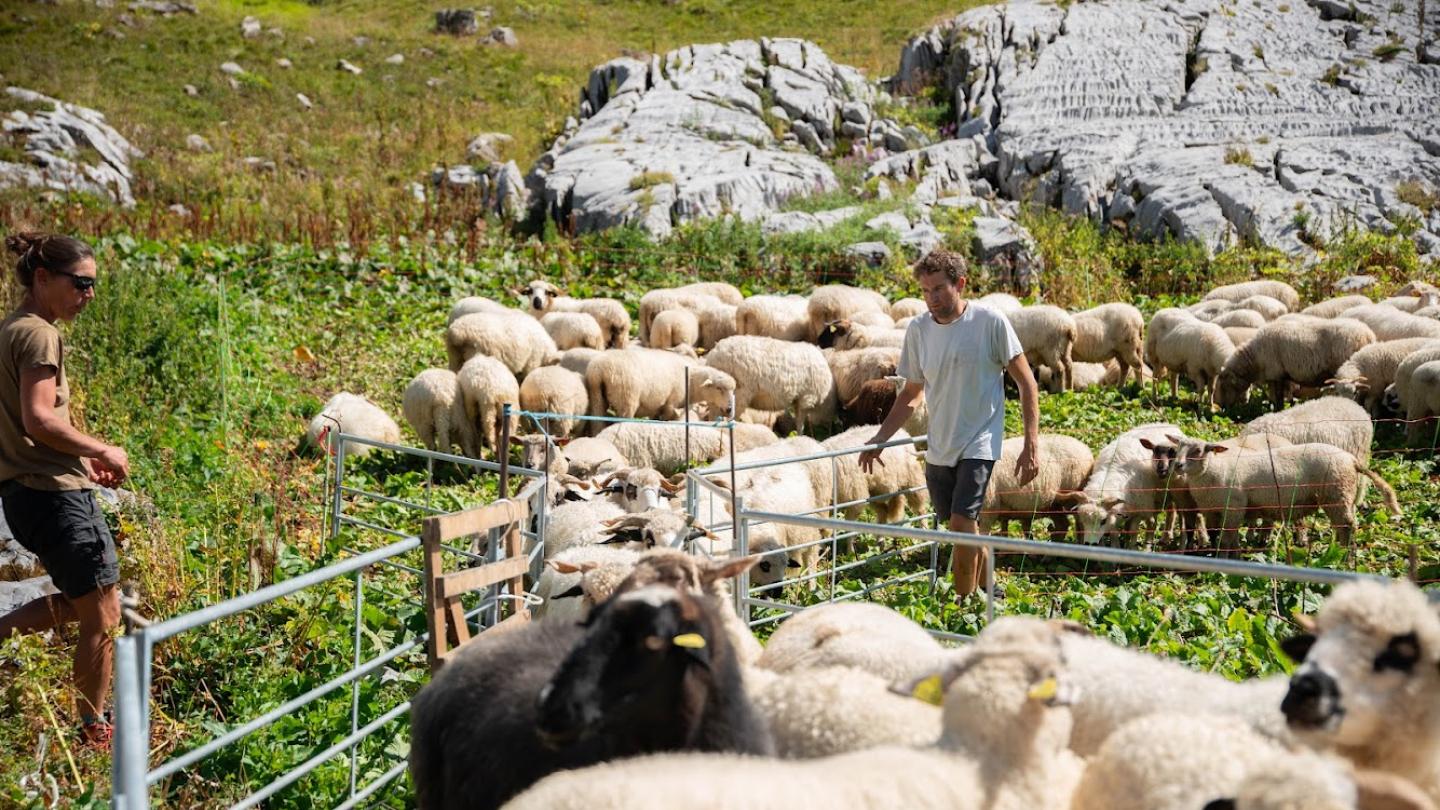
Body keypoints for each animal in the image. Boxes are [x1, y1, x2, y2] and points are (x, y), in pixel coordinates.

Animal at [584, 348, 734, 425]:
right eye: (719, 388)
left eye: (733, 390)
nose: (729, 409)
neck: (690, 380)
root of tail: (600, 369)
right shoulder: (671, 403)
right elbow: (666, 418)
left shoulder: (657, 408)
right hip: (626, 396)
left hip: (596, 395)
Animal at [705, 336, 837, 432]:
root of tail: (715, 354)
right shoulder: (806, 398)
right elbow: (800, 424)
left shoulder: (799, 399)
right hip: (739, 394)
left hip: (716, 396)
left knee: (713, 417)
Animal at [1165, 434, 1400, 554]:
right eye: (1178, 448)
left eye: (1198, 451)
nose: (1178, 465)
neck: (1215, 470)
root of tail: (1351, 459)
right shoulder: (1211, 510)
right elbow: (1216, 536)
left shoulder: (1234, 508)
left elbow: (1228, 539)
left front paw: (1229, 558)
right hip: (1343, 496)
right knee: (1344, 526)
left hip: (1337, 494)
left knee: (1348, 527)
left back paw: (1344, 557)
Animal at [1215, 316, 1376, 409]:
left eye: (1225, 385)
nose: (1223, 407)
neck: (1255, 358)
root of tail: (1369, 335)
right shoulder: (1280, 376)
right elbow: (1283, 398)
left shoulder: (1277, 374)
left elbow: (1279, 399)